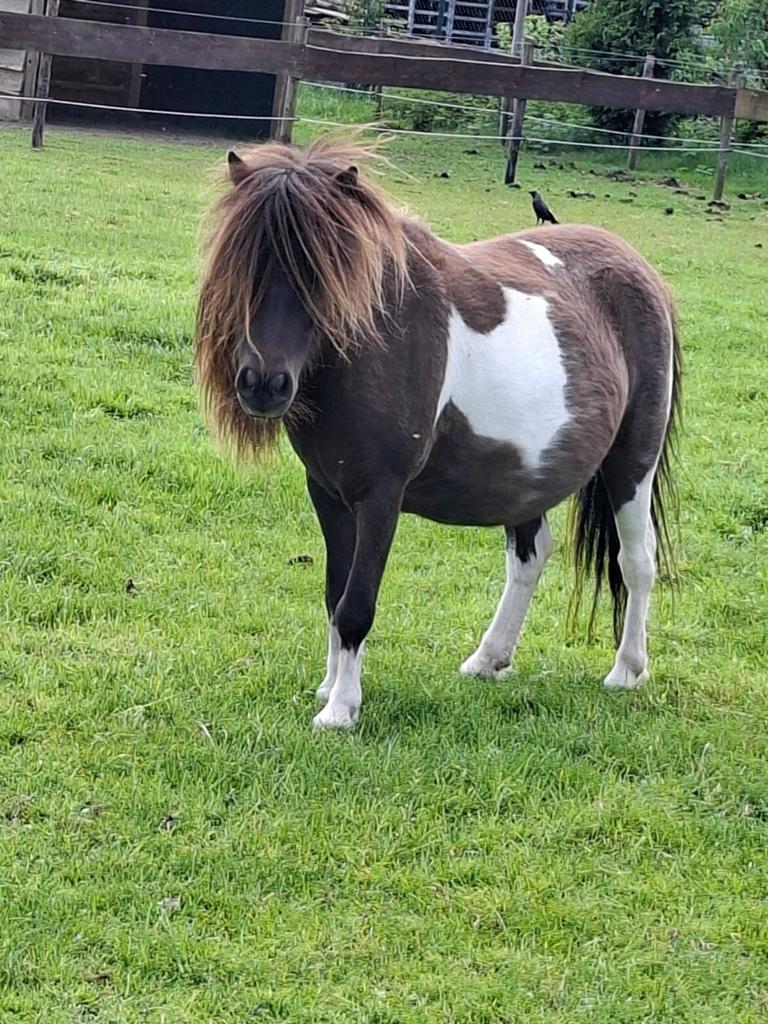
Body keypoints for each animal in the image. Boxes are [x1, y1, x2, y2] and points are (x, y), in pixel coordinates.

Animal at [195, 139, 681, 731]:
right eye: (243, 260)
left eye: (319, 271)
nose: (263, 385)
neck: (374, 343)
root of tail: (641, 270)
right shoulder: (328, 494)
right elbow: (335, 594)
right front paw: (329, 687)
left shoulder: (380, 497)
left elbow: (356, 604)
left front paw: (341, 709)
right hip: (528, 478)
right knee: (530, 557)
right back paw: (489, 659)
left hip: (632, 463)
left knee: (636, 561)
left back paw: (627, 670)